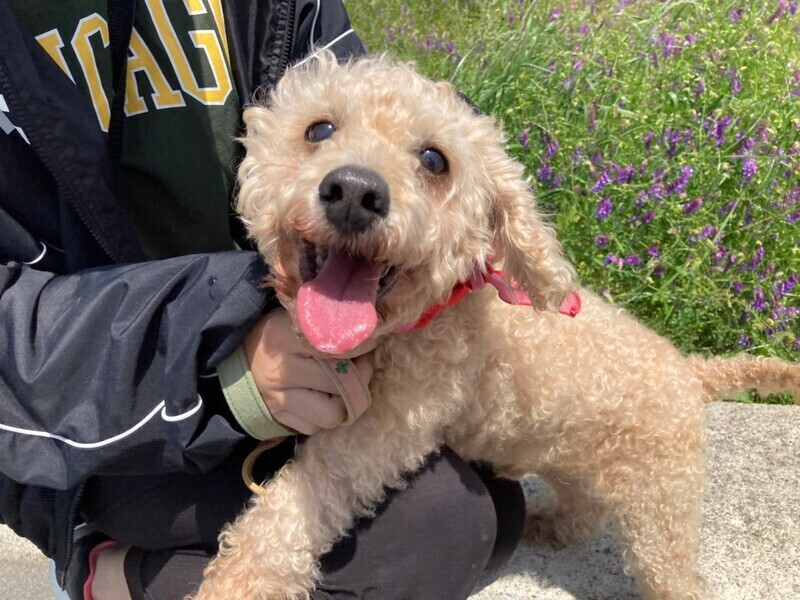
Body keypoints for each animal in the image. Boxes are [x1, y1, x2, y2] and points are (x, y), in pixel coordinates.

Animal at [192, 51, 800, 600]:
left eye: (435, 160)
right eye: (319, 128)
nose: (355, 192)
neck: (421, 319)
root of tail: (693, 372)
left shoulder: (381, 434)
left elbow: (291, 513)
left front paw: (238, 584)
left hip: (660, 507)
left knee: (676, 578)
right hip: (575, 458)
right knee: (584, 509)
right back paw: (551, 524)